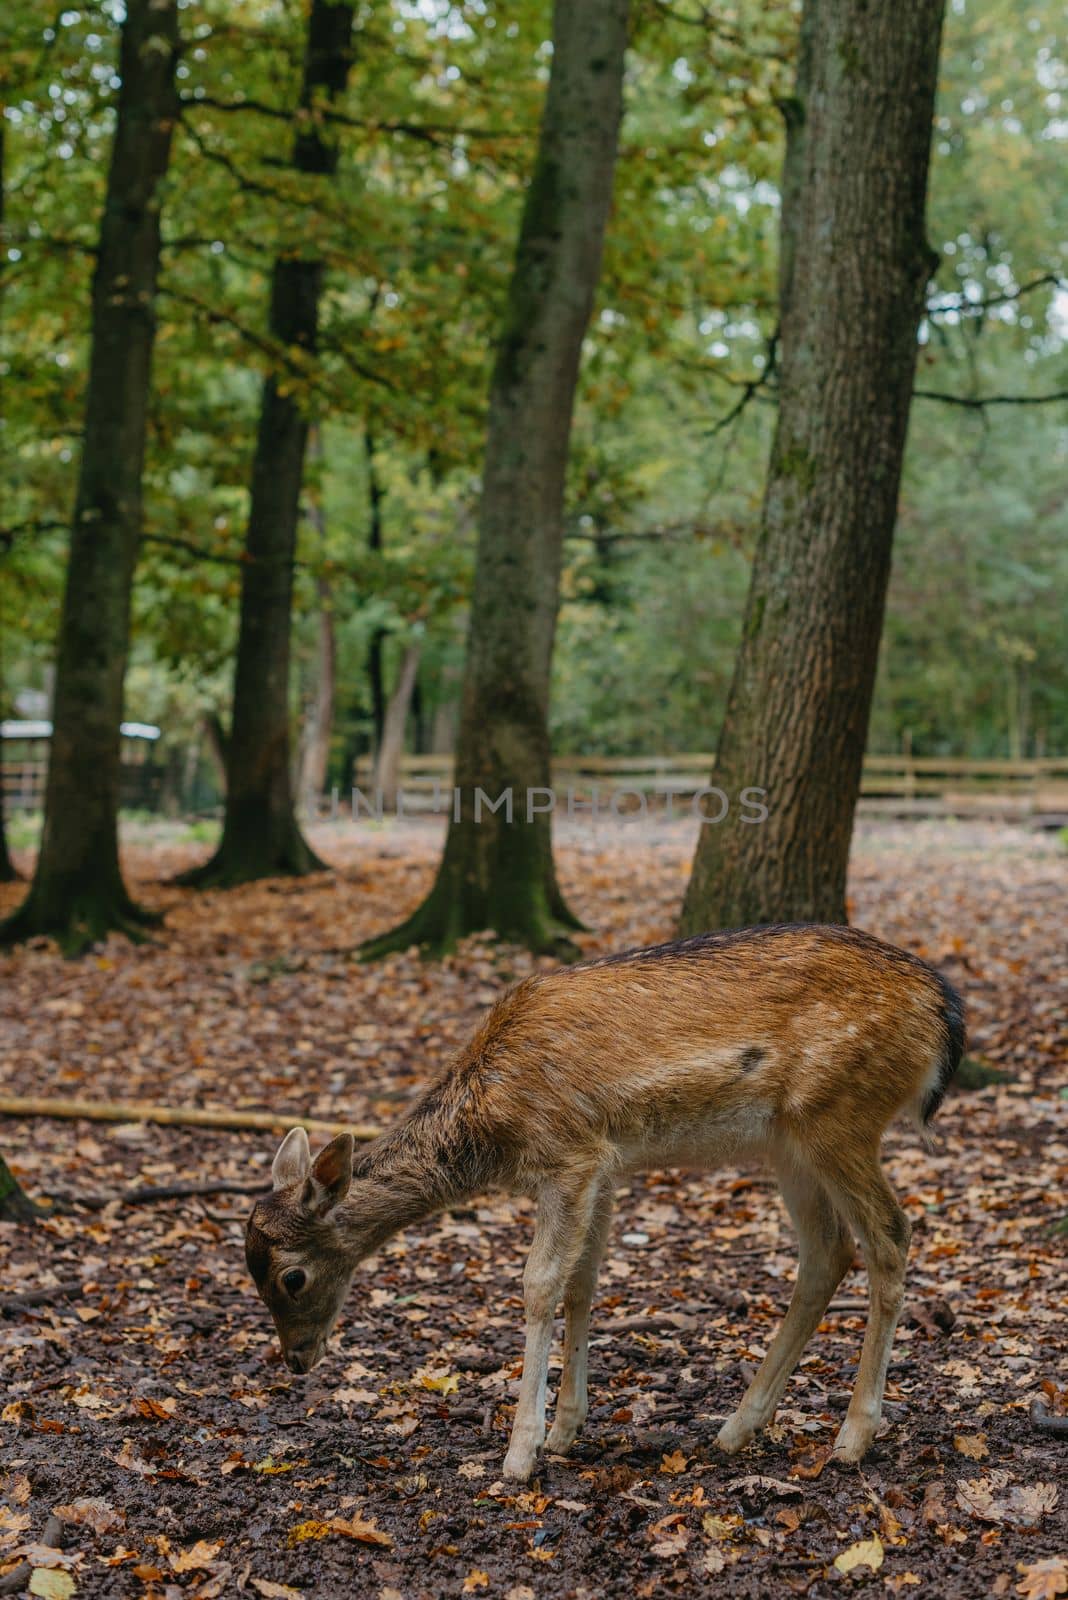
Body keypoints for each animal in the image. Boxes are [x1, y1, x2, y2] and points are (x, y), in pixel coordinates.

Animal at [246, 921, 965, 1478]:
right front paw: (566, 1430)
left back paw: (853, 1436)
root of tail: (944, 1012)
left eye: (291, 1276)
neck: (490, 1122)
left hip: (840, 1117)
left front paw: (520, 1454)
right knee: (827, 1252)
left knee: (890, 1235)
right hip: (789, 1144)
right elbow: (584, 1281)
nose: (297, 1358)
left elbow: (540, 1283)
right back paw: (737, 1428)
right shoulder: (605, 1165)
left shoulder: (568, 1154)